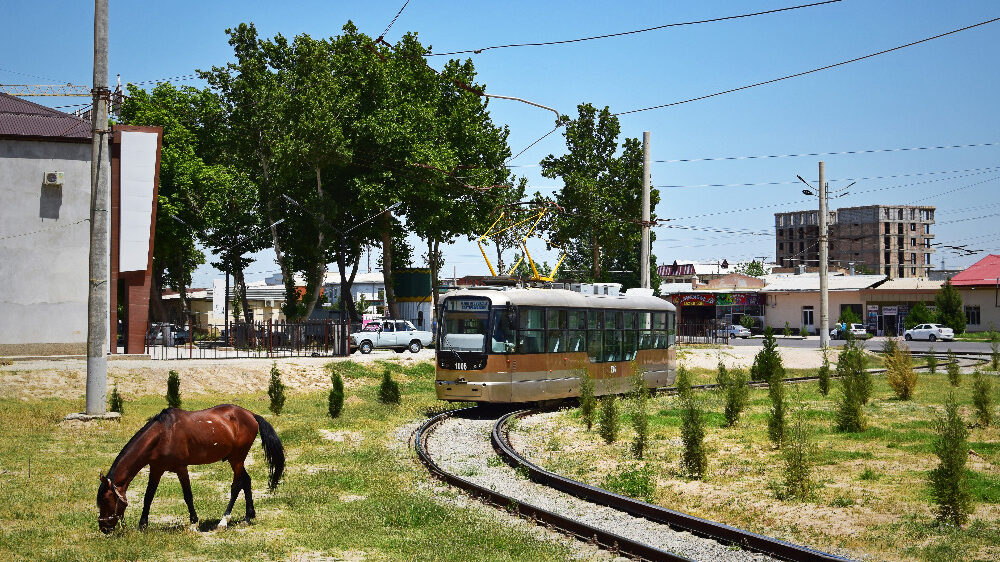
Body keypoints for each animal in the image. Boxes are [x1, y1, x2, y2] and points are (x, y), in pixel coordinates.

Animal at [95, 404, 284, 532]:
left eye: (106, 500)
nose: (104, 527)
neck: (164, 434)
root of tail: (251, 415)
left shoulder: (181, 468)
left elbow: (188, 496)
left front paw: (194, 523)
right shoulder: (156, 469)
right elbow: (148, 496)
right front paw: (143, 525)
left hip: (237, 459)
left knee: (236, 486)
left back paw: (223, 521)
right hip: (234, 459)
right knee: (246, 481)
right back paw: (247, 517)